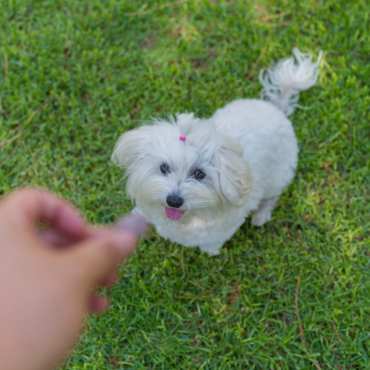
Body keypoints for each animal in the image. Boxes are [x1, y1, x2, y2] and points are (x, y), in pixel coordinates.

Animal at [111, 48, 322, 254]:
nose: (173, 200)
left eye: (199, 174)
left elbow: (211, 244)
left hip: (279, 176)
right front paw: (137, 215)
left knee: (271, 197)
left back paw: (261, 215)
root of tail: (275, 106)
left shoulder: (221, 230)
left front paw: (210, 252)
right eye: (164, 168)